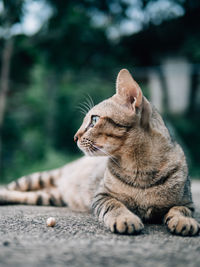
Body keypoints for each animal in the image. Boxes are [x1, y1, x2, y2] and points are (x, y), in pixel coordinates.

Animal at [0, 69, 199, 237]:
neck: (139, 167)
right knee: (11, 187)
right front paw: (125, 218)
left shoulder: (186, 202)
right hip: (41, 177)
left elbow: (180, 210)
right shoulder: (101, 196)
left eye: (94, 120)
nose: (74, 137)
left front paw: (184, 221)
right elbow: (114, 205)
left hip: (49, 197)